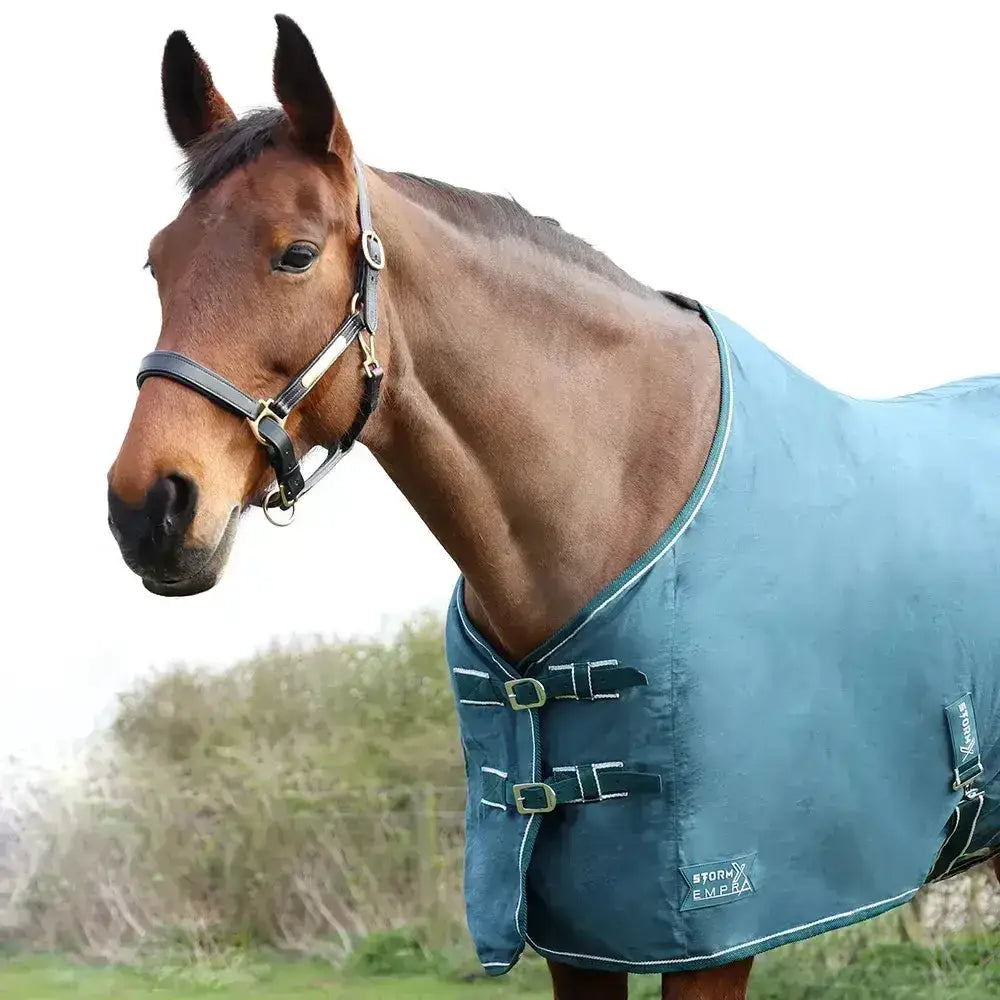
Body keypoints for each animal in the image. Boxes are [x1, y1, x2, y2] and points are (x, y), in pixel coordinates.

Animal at [107, 16, 999, 999]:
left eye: (295, 253)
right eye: (158, 262)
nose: (148, 509)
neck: (616, 492)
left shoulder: (718, 937)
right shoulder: (577, 937)